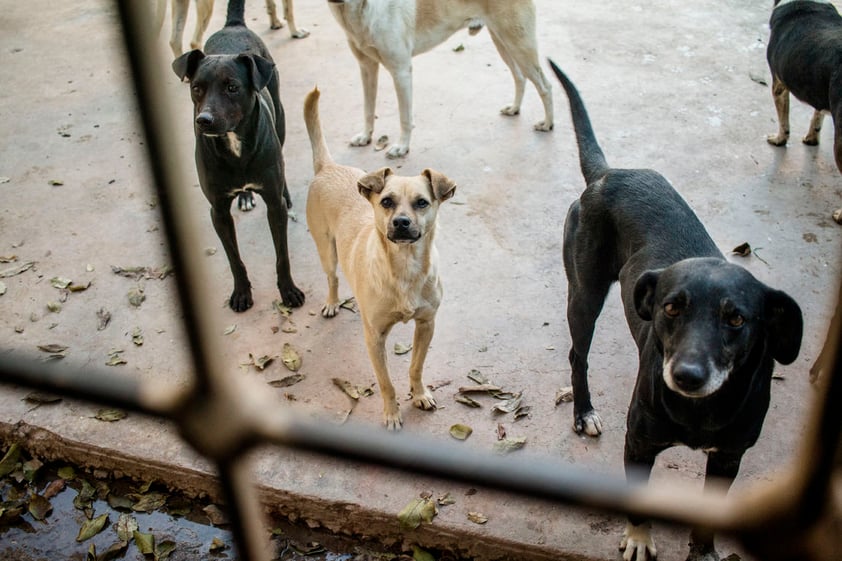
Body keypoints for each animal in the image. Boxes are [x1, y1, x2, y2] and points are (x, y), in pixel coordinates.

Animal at [156, 0, 306, 57]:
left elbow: (271, 5)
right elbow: (289, 10)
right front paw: (296, 32)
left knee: (174, 41)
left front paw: (275, 23)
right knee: (194, 42)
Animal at [171, 0, 302, 310]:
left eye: (233, 87)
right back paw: (244, 197)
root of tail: (233, 25)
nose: (203, 121)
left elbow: (282, 256)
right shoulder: (217, 211)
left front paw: (288, 291)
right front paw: (241, 292)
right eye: (197, 88)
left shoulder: (274, 206)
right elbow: (234, 259)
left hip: (280, 120)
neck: (235, 148)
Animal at [306, 87, 456, 428]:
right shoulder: (374, 337)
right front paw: (391, 413)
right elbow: (386, 382)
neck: (404, 267)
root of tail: (328, 167)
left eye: (422, 202)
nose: (400, 222)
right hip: (326, 250)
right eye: (386, 202)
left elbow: (415, 366)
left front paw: (419, 393)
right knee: (332, 278)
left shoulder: (426, 325)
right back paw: (333, 302)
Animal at [326, 0, 552, 159]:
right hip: (503, 41)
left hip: (519, 45)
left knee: (545, 85)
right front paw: (365, 136)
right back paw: (514, 108)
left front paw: (402, 147)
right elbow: (368, 109)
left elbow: (405, 118)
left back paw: (548, 124)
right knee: (520, 77)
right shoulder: (367, 67)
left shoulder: (401, 71)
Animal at [548, 60, 804, 560]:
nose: (686, 375)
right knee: (577, 355)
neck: (699, 410)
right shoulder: (639, 442)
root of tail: (610, 173)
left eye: (736, 318)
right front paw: (638, 539)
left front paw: (702, 551)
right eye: (671, 307)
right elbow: (639, 501)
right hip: (584, 294)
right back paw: (583, 411)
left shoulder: (729, 458)